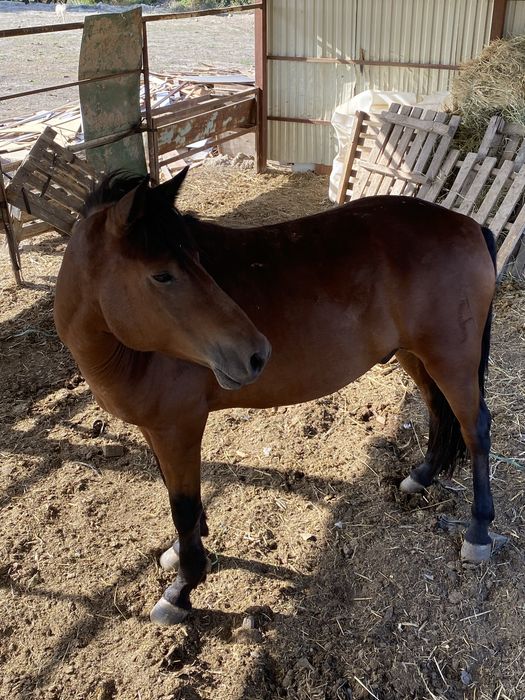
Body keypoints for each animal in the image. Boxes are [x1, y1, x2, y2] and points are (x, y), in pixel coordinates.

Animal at [54, 167, 497, 626]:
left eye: (196, 258)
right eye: (162, 274)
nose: (256, 353)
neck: (125, 351)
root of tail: (468, 224)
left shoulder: (179, 427)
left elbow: (183, 507)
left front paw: (183, 587)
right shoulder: (155, 429)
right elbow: (178, 496)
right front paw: (185, 549)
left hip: (451, 359)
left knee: (475, 428)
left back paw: (479, 531)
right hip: (415, 355)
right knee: (438, 412)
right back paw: (420, 477)